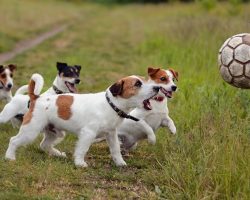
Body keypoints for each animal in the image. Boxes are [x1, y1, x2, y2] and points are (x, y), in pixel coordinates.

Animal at [5, 73, 160, 167]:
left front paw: (120, 162)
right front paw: (80, 163)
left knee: (44, 145)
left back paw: (58, 154)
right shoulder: (88, 134)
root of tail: (36, 98)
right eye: (137, 84)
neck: (110, 104)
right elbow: (82, 149)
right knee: (13, 140)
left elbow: (115, 149)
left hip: (55, 132)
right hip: (30, 131)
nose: (157, 87)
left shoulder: (111, 134)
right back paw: (9, 157)